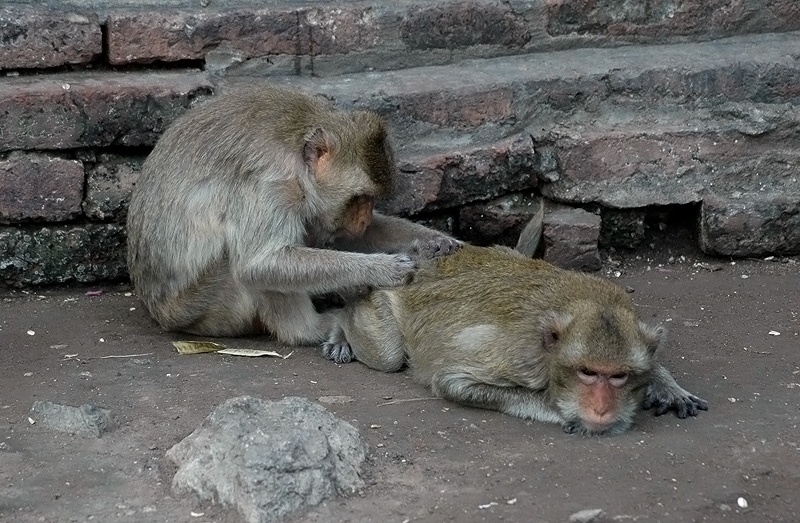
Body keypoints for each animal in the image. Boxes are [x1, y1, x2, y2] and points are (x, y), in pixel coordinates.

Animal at [127, 85, 460, 348]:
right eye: (360, 198)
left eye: (370, 200)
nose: (364, 219)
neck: (298, 158)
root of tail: (161, 314)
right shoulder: (269, 184)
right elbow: (259, 263)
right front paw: (381, 269)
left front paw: (431, 240)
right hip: (202, 308)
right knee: (245, 267)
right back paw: (311, 329)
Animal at [324, 207, 708, 436]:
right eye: (587, 373)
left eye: (618, 377)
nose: (601, 409)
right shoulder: (519, 357)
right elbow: (453, 382)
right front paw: (564, 412)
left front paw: (665, 384)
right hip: (390, 295)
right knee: (386, 354)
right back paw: (340, 328)